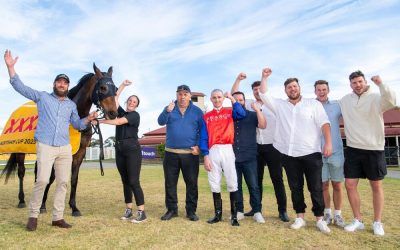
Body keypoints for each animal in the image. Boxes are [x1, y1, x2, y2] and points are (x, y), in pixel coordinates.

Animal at [1, 64, 117, 217]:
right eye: (103, 87)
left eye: (116, 88)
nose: (113, 113)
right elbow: (51, 177)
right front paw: (42, 205)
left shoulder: (80, 153)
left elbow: (73, 179)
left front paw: (74, 207)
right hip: (20, 151)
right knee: (22, 172)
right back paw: (22, 200)